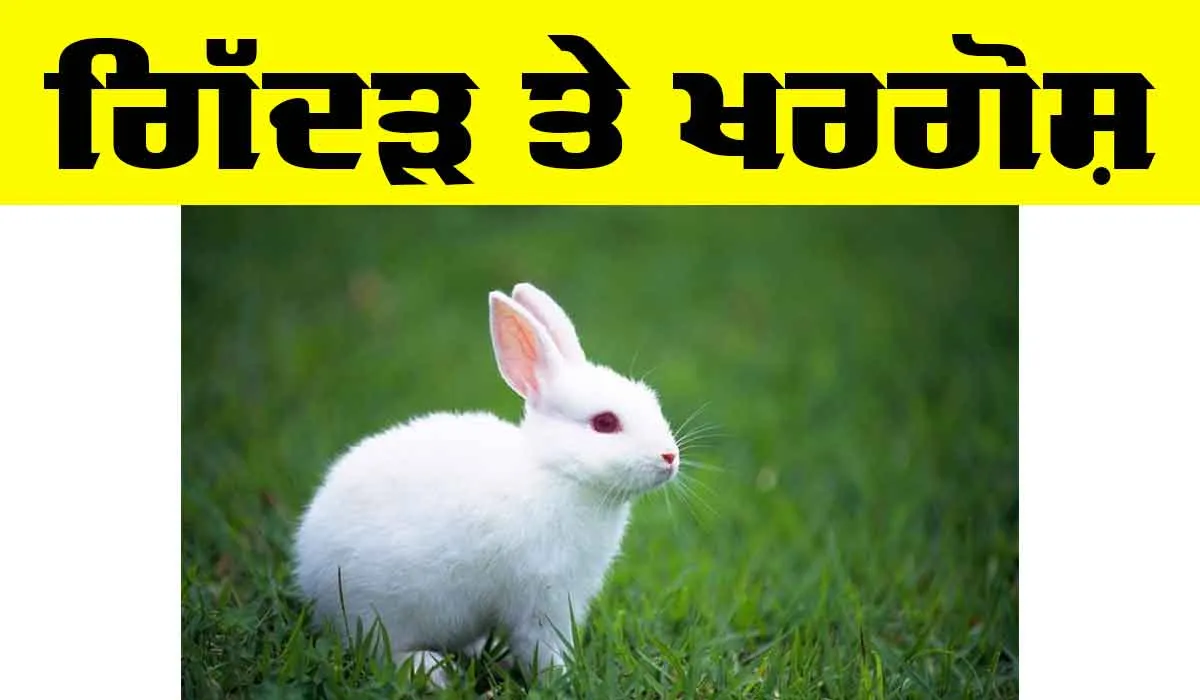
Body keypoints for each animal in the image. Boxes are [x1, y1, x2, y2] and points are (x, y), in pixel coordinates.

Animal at [293, 282, 681, 686]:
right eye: (605, 423)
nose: (669, 456)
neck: (557, 472)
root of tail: (309, 572)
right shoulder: (542, 600)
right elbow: (541, 649)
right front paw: (562, 681)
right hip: (382, 611)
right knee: (384, 651)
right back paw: (433, 671)